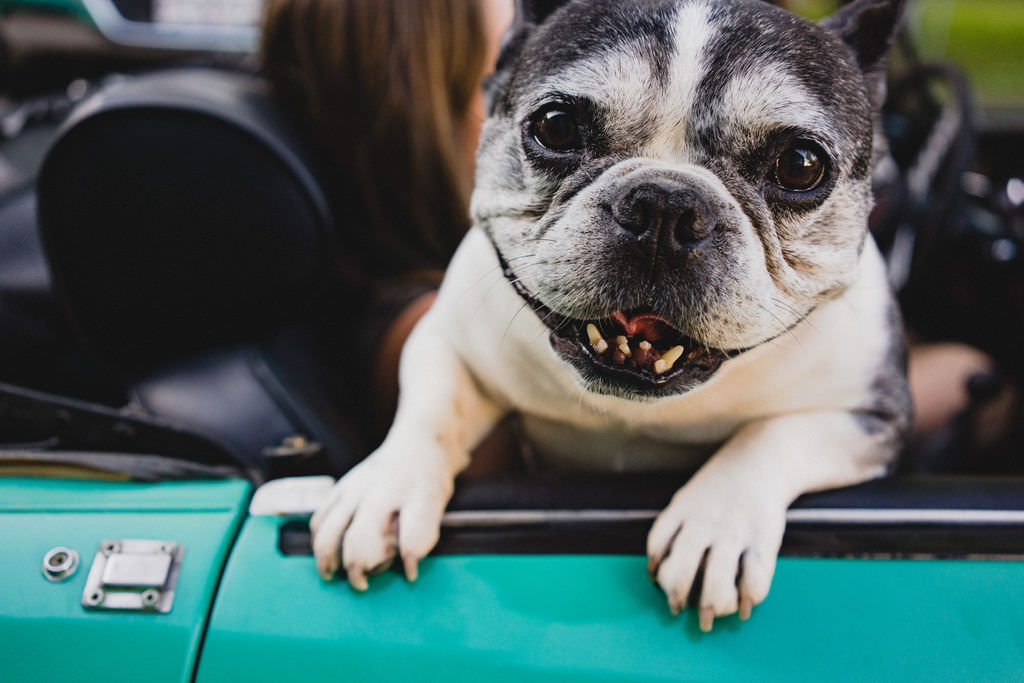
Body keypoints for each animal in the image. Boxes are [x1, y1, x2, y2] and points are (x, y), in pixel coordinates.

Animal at [311, 0, 913, 630]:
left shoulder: (870, 415)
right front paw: (383, 489)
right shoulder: (448, 342)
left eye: (800, 165)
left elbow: (770, 438)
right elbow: (430, 410)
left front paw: (715, 526)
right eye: (556, 126)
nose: (666, 205)